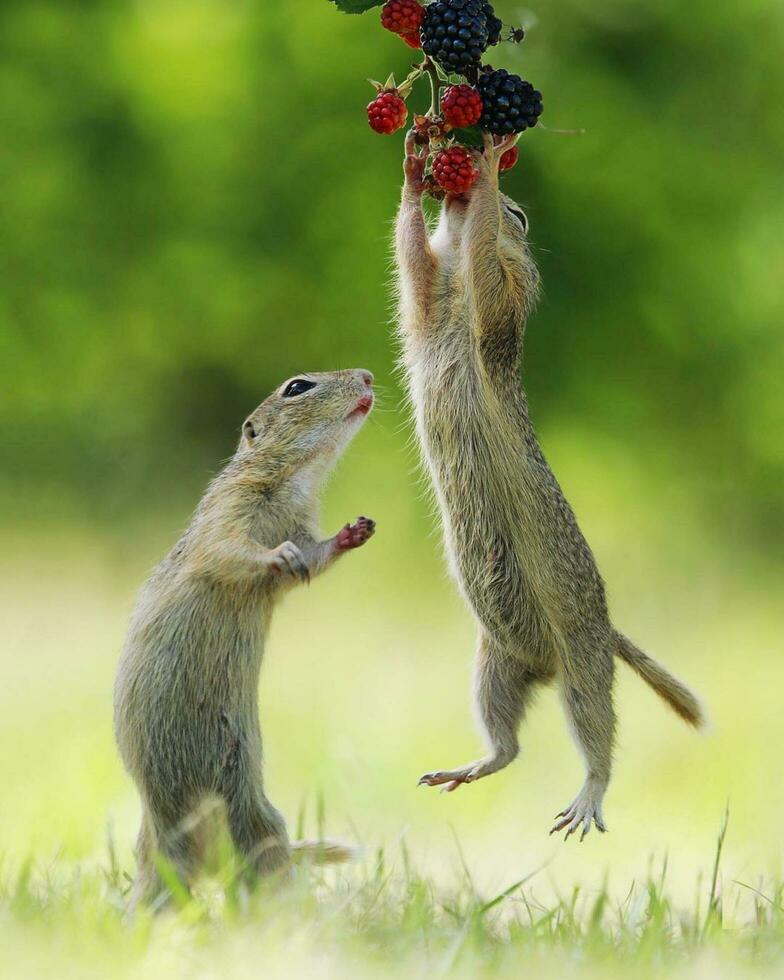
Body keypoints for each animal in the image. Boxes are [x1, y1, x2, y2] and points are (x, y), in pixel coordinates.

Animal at [113, 372, 376, 908]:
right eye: (297, 387)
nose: (368, 376)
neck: (295, 481)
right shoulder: (228, 508)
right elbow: (230, 549)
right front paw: (279, 555)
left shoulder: (301, 526)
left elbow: (314, 558)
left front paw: (354, 532)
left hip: (252, 816)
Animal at [396, 134, 708, 840]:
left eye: (521, 214)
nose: (454, 186)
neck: (453, 304)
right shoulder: (427, 302)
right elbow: (413, 258)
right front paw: (414, 166)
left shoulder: (501, 301)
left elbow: (488, 269)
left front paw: (483, 170)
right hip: (493, 665)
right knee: (509, 746)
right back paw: (468, 766)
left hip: (583, 666)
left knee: (599, 734)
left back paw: (589, 795)